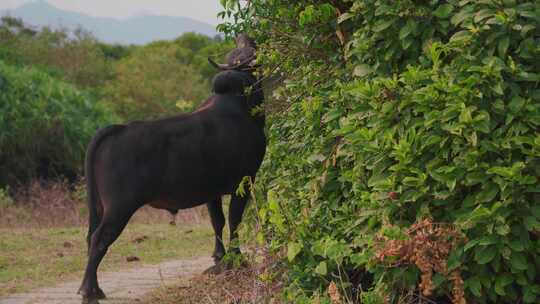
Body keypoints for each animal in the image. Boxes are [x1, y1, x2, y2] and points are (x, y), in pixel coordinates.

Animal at [77, 35, 266, 302]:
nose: (245, 36)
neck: (240, 105)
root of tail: (117, 129)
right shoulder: (244, 181)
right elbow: (234, 220)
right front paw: (235, 258)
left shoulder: (212, 191)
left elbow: (217, 221)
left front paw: (219, 258)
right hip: (119, 207)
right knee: (99, 239)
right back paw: (89, 291)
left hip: (99, 207)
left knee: (90, 237)